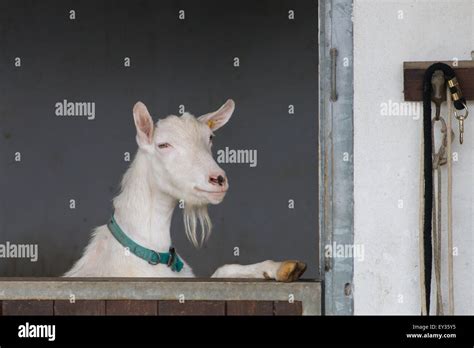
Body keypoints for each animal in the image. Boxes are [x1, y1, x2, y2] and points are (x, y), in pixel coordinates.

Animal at [65, 99, 306, 282]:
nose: (218, 179)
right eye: (163, 145)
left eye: (210, 138)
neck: (152, 253)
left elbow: (222, 270)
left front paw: (283, 268)